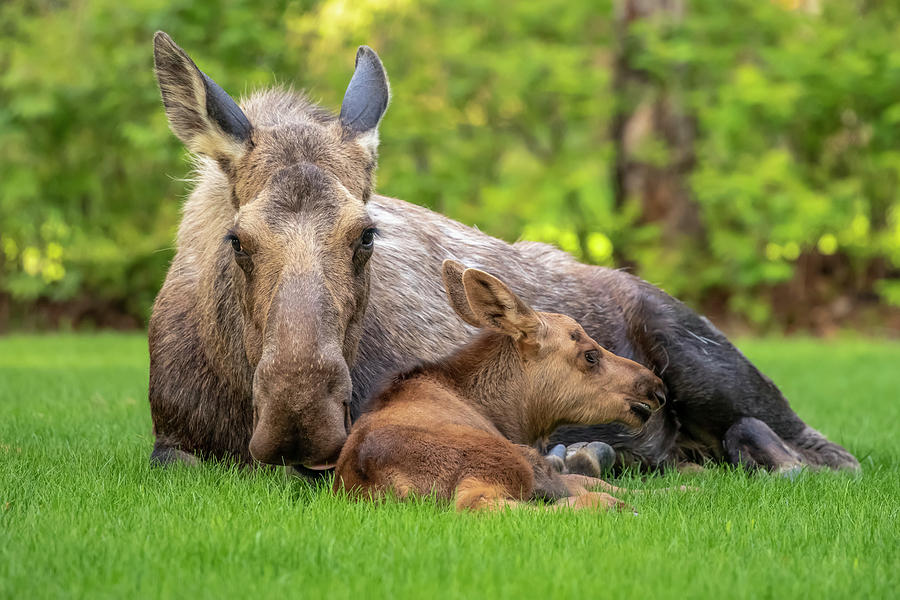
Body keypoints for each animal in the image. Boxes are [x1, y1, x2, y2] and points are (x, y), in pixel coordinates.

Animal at [146, 32, 856, 476]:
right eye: (237, 239)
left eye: (367, 234)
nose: (301, 414)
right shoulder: (169, 437)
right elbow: (177, 461)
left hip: (705, 361)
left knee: (825, 453)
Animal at [334, 260, 664, 512]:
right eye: (590, 355)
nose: (657, 387)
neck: (510, 417)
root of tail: (378, 481)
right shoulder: (530, 459)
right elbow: (597, 481)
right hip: (505, 461)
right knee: (481, 505)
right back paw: (606, 505)